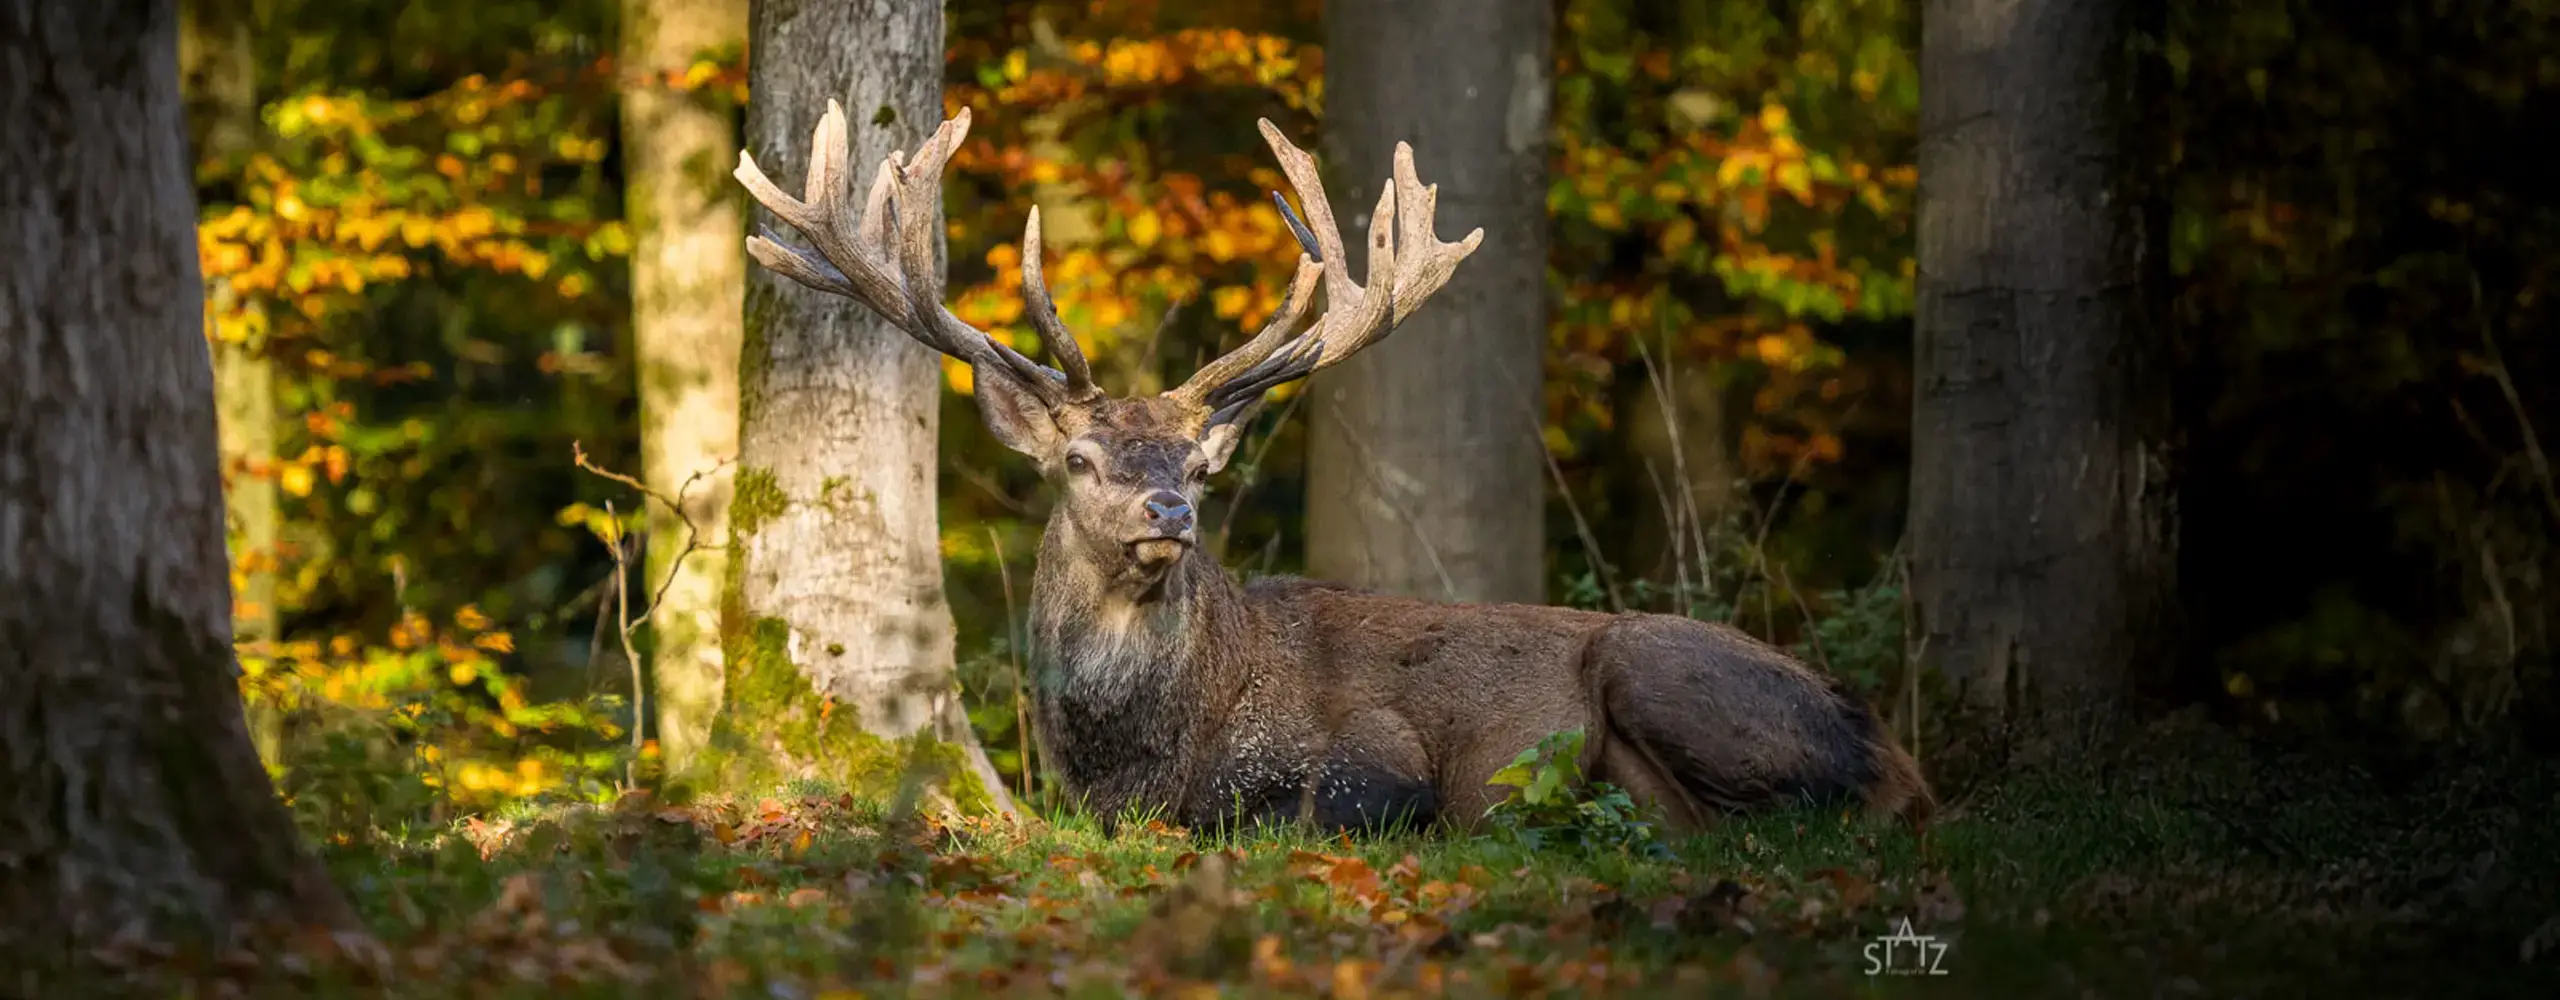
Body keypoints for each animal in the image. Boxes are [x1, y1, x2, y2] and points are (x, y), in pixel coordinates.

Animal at [733, 101, 1934, 838]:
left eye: (1199, 467)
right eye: (1078, 456)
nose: (1167, 509)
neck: (1146, 752)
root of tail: (1893, 747)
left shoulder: (1377, 757)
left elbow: (1296, 813)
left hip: (1655, 666)